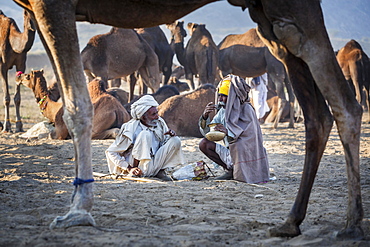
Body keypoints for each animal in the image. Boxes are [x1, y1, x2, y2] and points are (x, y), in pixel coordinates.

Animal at [12, 0, 364, 239]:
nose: (21, 72)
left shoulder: (53, 6)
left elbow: (77, 108)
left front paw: (77, 212)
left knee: (344, 105)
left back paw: (350, 224)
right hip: (273, 21)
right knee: (317, 113)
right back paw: (291, 221)